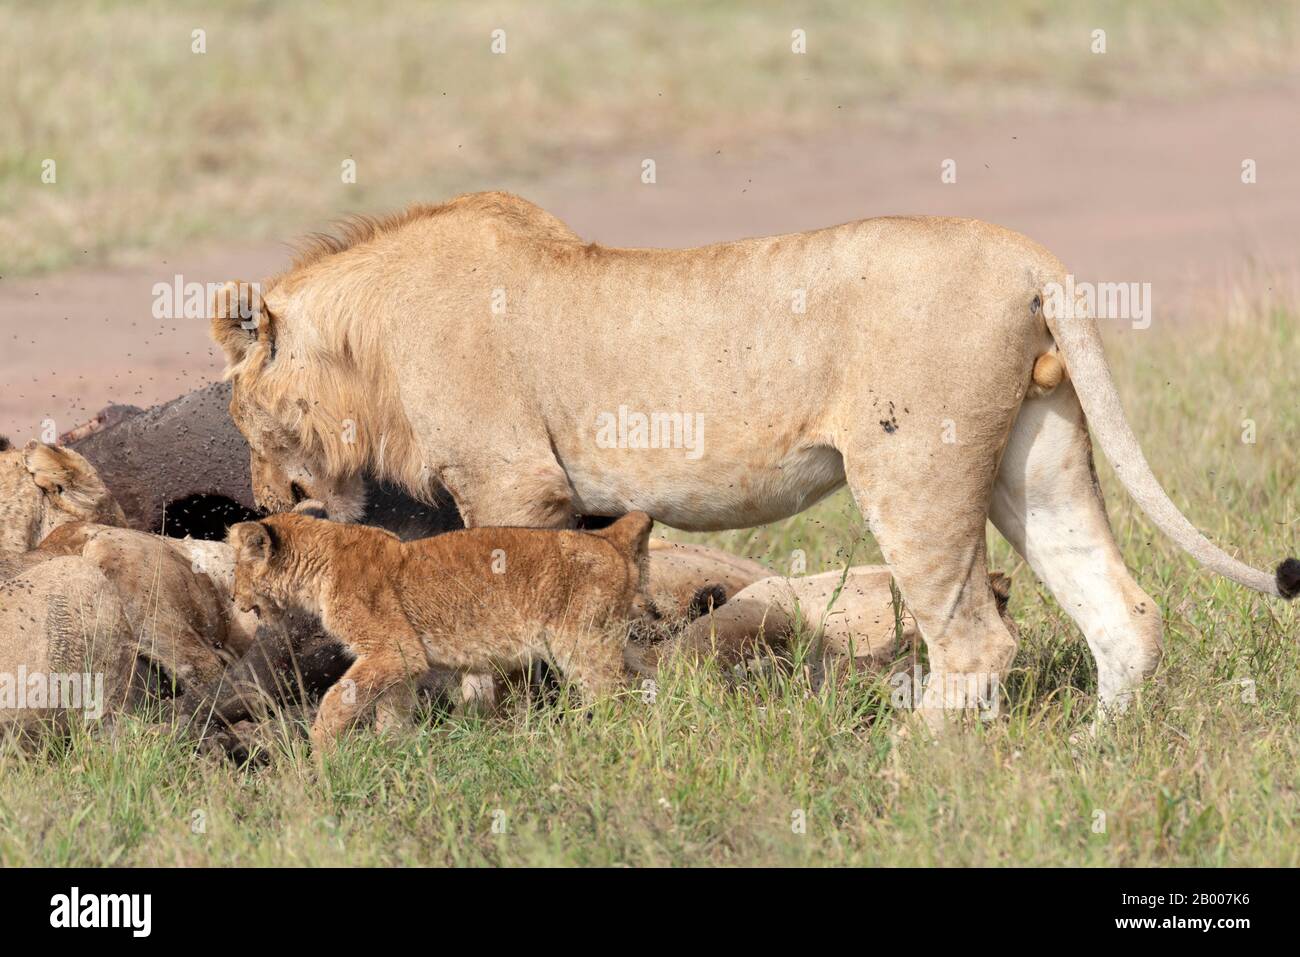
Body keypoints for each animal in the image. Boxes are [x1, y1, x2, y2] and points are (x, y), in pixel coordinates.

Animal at [208, 191, 1294, 712]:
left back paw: (909, 769)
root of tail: (1030, 259)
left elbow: (494, 611)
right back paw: (1094, 755)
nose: (266, 500)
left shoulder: (514, 480)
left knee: (976, 644)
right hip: (1037, 458)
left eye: (242, 419)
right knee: (1125, 613)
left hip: (913, 469)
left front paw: (496, 725)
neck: (369, 351)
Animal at [226, 509, 650, 748]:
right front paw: (394, 751)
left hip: (583, 643)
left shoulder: (393, 648)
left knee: (618, 698)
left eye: (238, 570)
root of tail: (608, 539)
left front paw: (320, 747)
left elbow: (339, 696)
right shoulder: (402, 662)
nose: (232, 597)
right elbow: (392, 710)